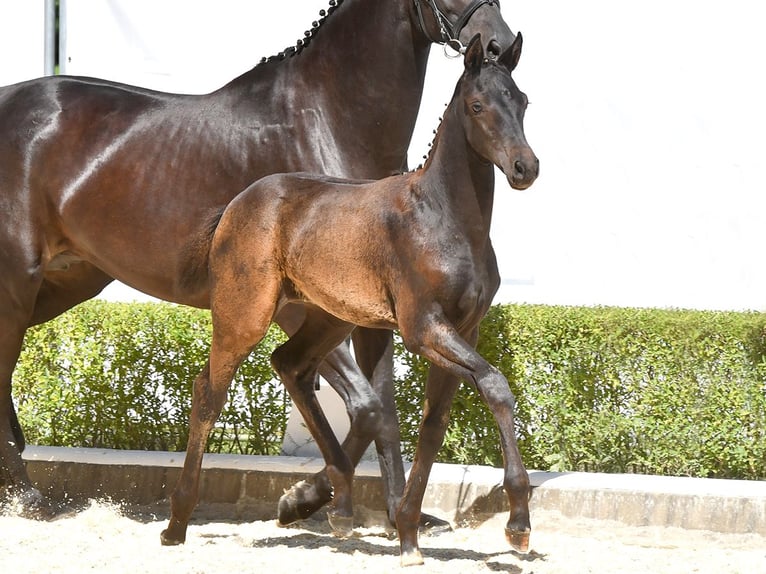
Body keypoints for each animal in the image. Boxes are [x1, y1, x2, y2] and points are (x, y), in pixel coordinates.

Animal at [1, 0, 516, 528]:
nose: (498, 45)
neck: (327, 119)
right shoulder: (301, 306)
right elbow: (367, 405)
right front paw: (306, 500)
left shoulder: (376, 309)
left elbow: (385, 408)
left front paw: (395, 515)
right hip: (16, 282)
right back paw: (28, 497)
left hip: (63, 284)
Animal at [164, 35, 540, 568]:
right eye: (477, 104)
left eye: (522, 101)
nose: (526, 168)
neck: (443, 217)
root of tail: (237, 203)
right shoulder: (423, 328)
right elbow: (495, 385)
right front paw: (518, 523)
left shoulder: (464, 329)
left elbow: (434, 424)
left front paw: (408, 533)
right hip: (244, 315)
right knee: (208, 394)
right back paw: (177, 522)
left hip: (330, 319)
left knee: (291, 365)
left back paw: (337, 505)